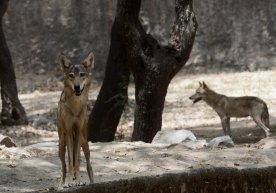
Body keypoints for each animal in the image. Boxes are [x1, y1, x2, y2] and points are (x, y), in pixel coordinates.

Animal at [56, 51, 94, 188]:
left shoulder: (77, 131)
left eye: (82, 75)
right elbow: (70, 161)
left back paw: (91, 182)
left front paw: (77, 180)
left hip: (85, 143)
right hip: (61, 145)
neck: (75, 107)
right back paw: (62, 184)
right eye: (71, 76)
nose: (77, 87)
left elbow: (76, 160)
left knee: (88, 166)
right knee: (63, 167)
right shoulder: (68, 131)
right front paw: (70, 181)